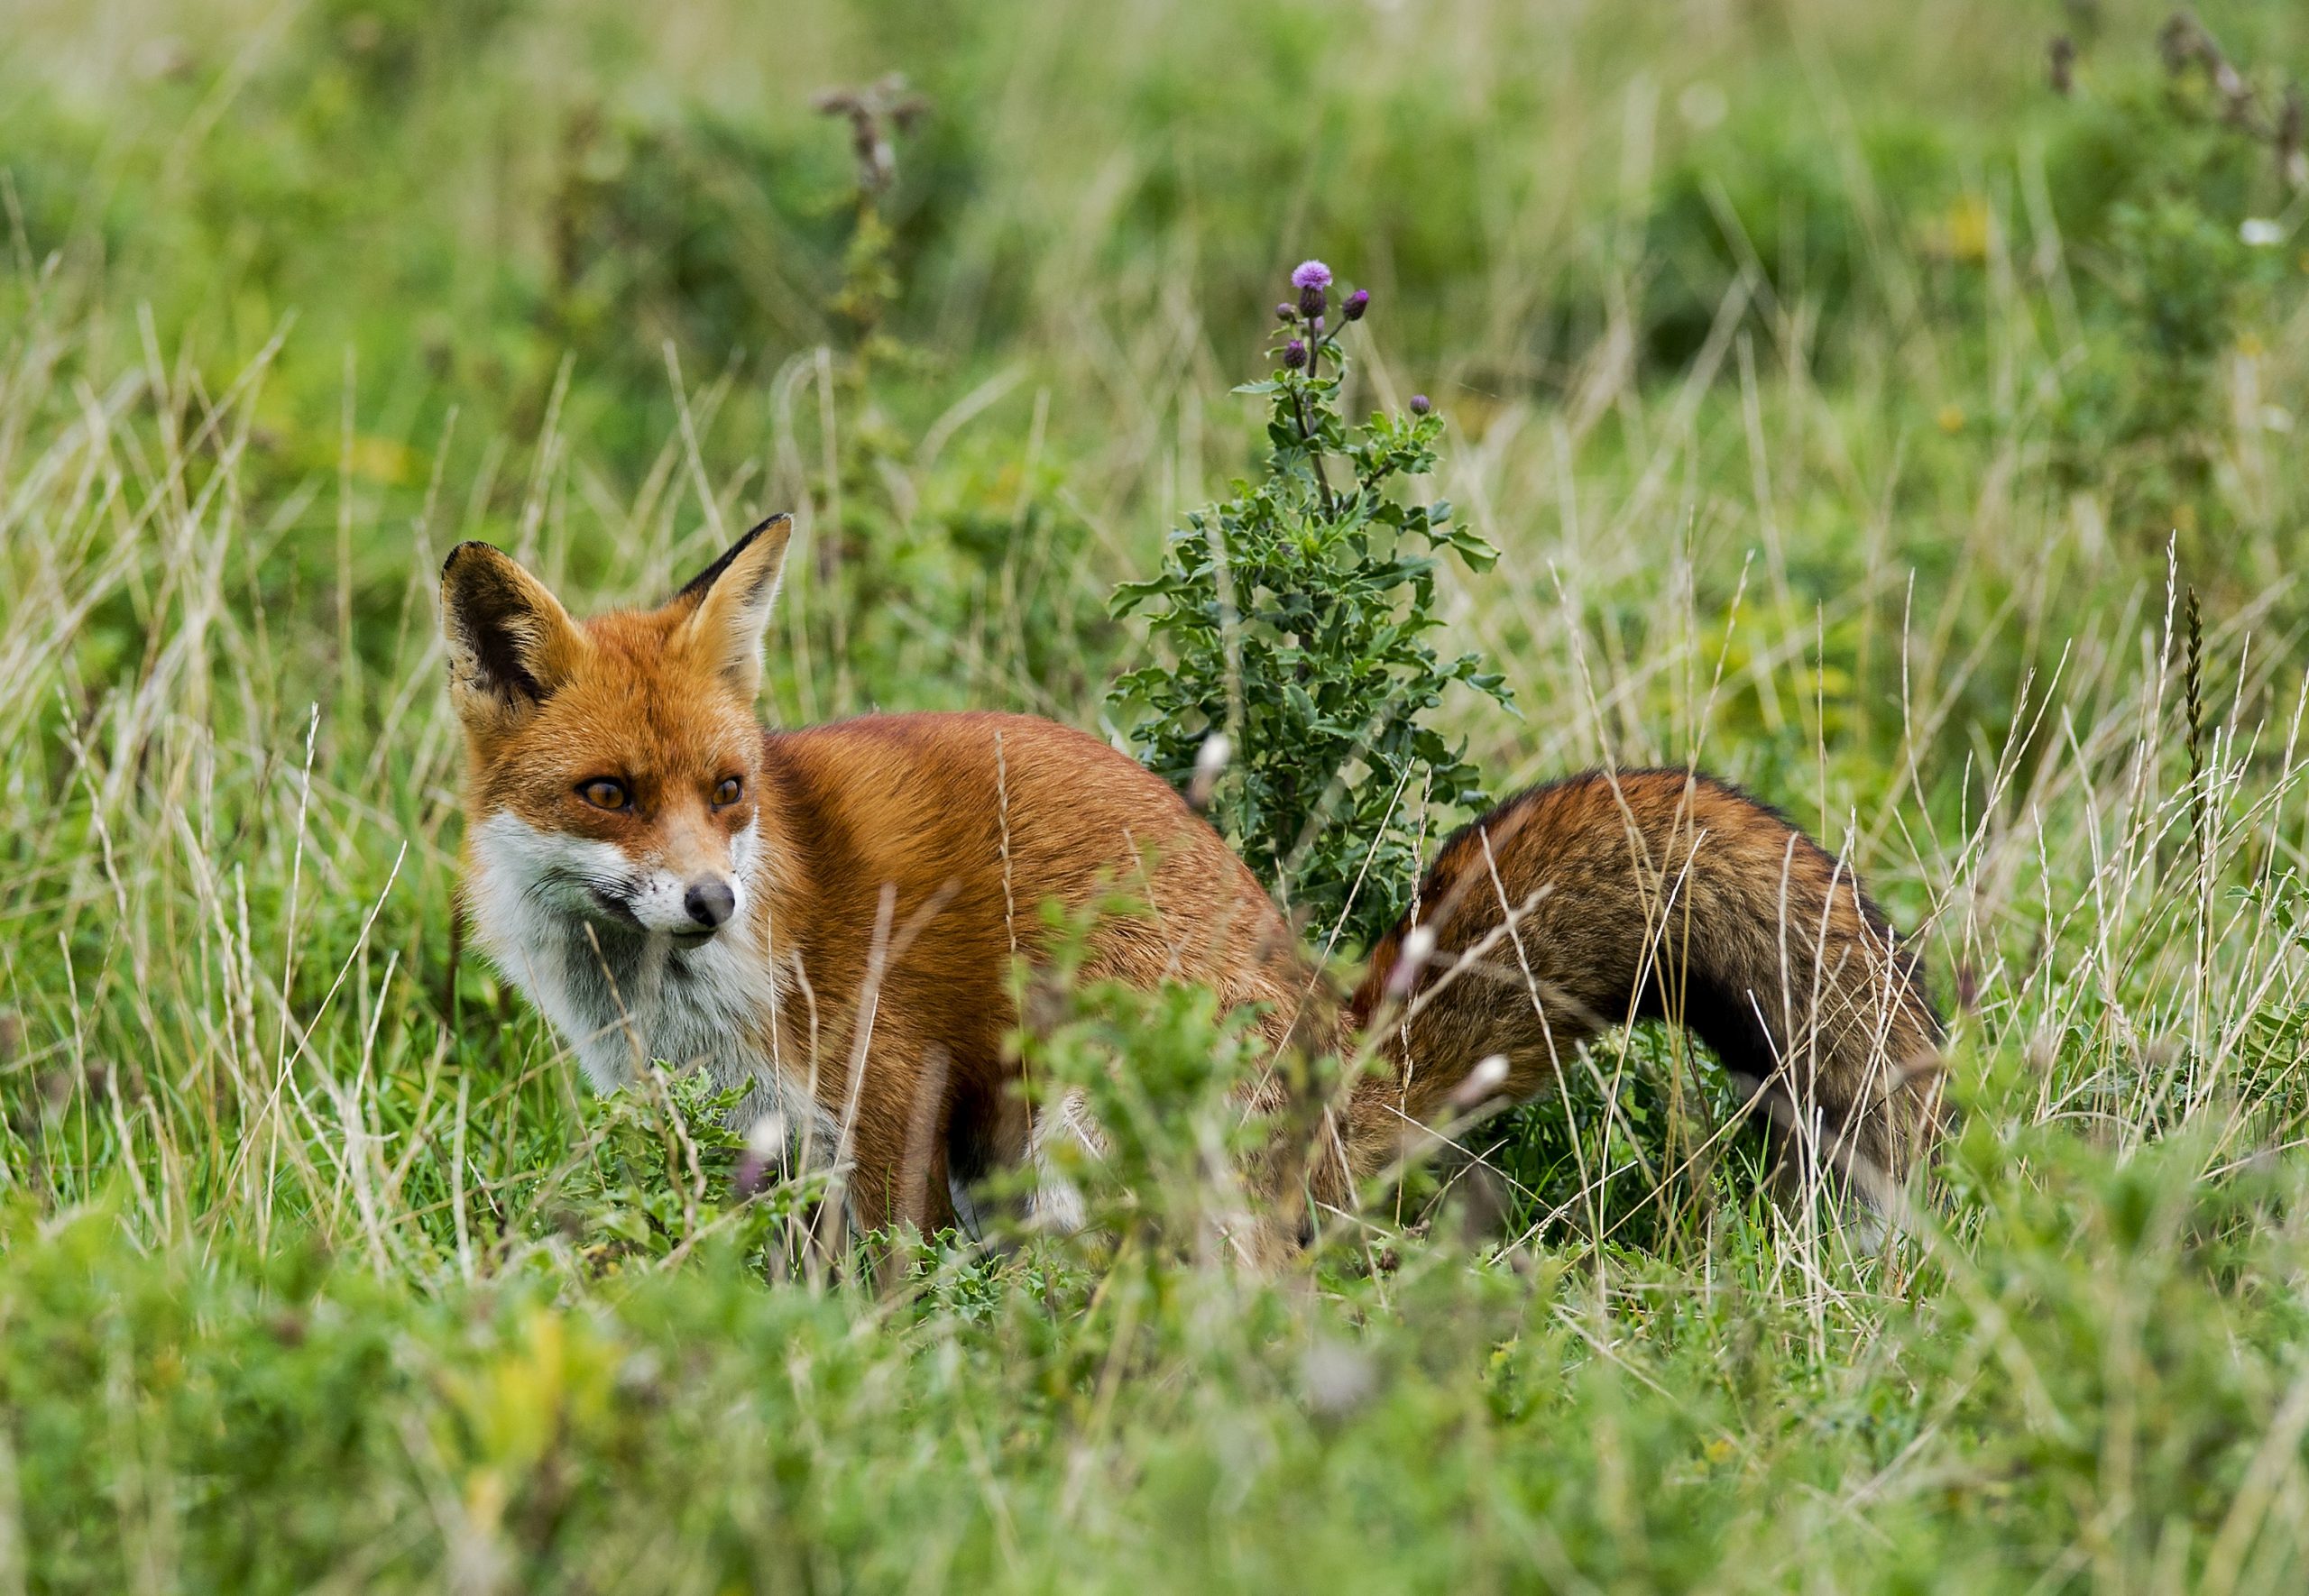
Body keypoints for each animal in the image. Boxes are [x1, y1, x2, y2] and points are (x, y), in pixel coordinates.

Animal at [440, 517, 1939, 1237]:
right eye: (609, 794)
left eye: (728, 791)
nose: (710, 901)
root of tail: (1330, 1042)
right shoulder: (730, 1129)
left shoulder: (889, 1085)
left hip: (1077, 1139)